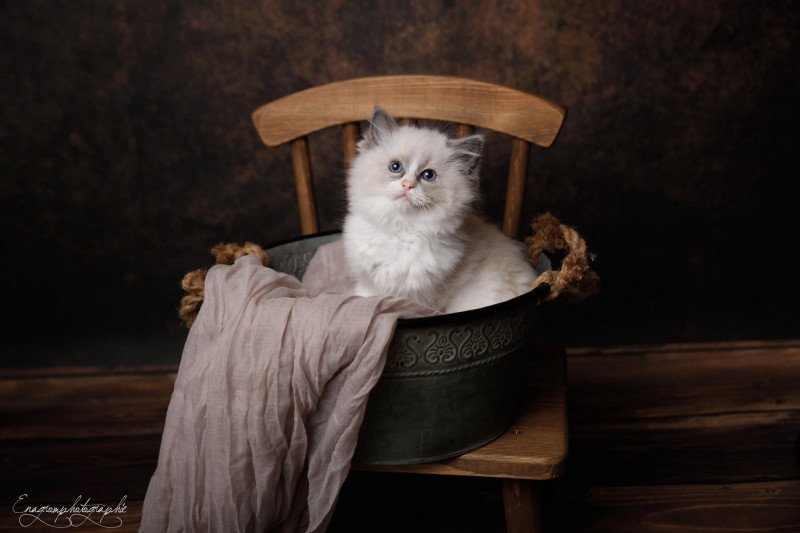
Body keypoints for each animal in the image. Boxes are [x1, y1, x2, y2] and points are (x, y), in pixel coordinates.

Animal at [340, 107, 536, 312]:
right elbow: (364, 296)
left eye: (428, 175)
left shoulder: (419, 299)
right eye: (395, 167)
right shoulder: (368, 283)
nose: (408, 185)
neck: (401, 231)